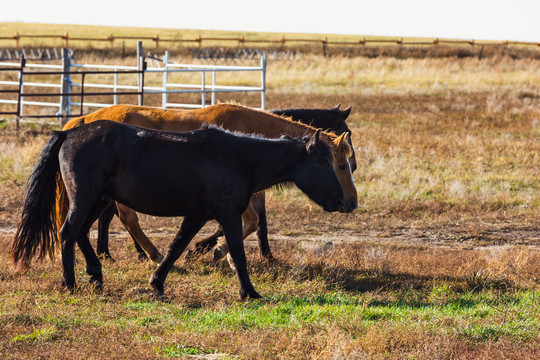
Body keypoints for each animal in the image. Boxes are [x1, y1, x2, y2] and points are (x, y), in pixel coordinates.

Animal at [12, 119, 346, 300]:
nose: (343, 202)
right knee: (68, 233)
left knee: (79, 233)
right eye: (323, 162)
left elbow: (176, 247)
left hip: (99, 200)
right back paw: (70, 283)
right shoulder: (227, 216)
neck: (238, 158)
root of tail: (68, 133)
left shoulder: (197, 215)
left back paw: (95, 275)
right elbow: (237, 253)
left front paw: (157, 283)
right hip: (87, 198)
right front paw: (249, 292)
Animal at [57, 102, 356, 262]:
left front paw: (262, 255)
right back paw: (151, 254)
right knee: (126, 218)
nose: (352, 202)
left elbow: (259, 223)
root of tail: (85, 119)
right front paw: (213, 249)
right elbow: (250, 223)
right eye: (340, 165)